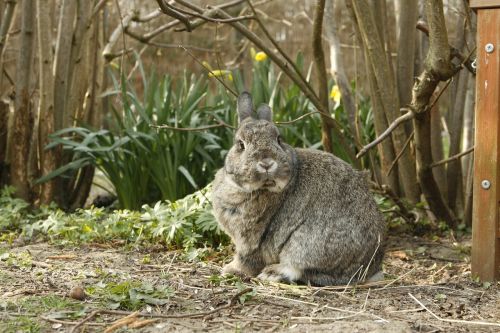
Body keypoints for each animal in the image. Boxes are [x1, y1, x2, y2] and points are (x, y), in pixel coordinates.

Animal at [211, 91, 386, 286]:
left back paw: (272, 272)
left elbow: (246, 260)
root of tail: (368, 268)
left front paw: (230, 270)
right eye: (240, 145)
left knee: (298, 268)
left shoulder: (250, 241)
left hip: (305, 243)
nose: (266, 163)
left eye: (279, 139)